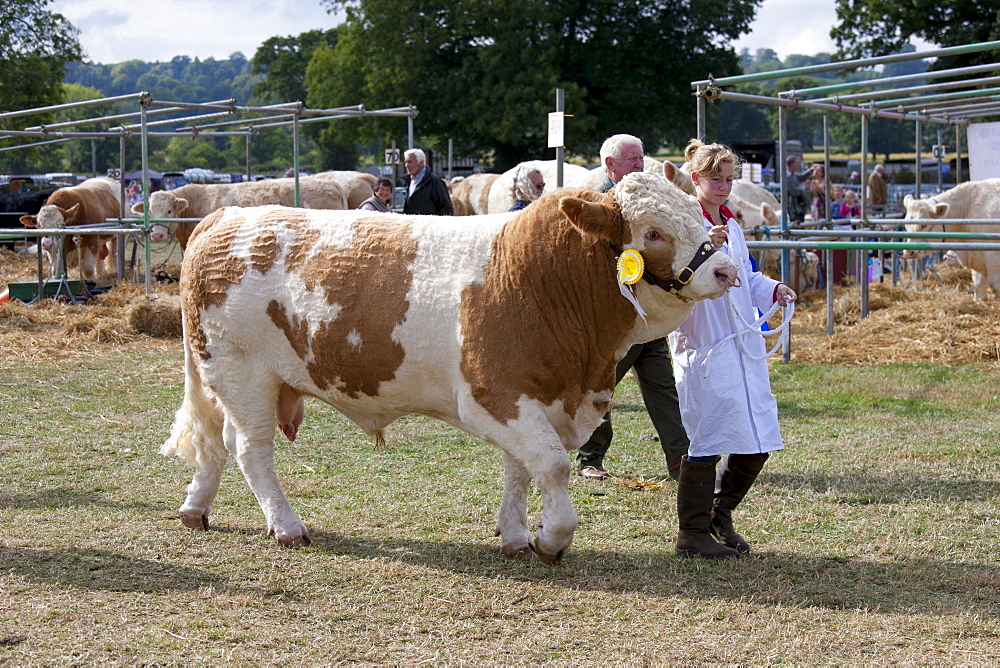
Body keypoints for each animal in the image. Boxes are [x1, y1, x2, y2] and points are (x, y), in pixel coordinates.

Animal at [164, 171, 740, 564]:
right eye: (654, 232)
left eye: (698, 214)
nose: (726, 270)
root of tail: (223, 218)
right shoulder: (493, 396)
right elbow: (551, 465)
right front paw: (551, 539)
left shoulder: (535, 398)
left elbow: (520, 469)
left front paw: (515, 536)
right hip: (243, 374)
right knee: (251, 450)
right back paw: (286, 526)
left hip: (228, 378)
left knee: (216, 441)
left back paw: (195, 507)